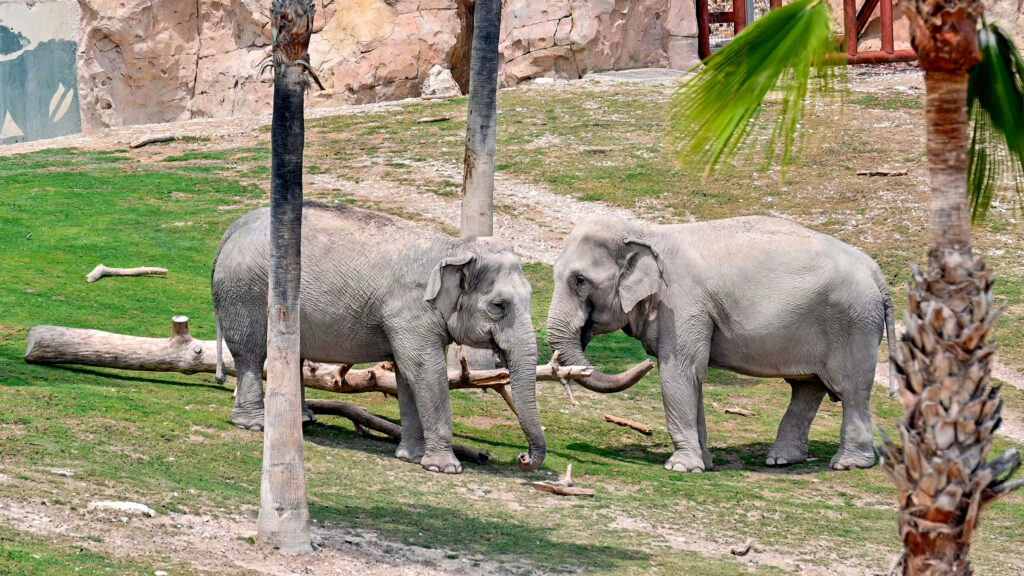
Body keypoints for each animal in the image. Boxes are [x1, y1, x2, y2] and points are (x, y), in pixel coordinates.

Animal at [207, 203, 544, 473]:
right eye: (498, 306)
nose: (523, 458)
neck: (454, 247)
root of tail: (232, 229)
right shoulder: (410, 311)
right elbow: (426, 371)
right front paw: (444, 469)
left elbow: (407, 375)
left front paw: (411, 457)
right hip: (245, 291)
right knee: (250, 353)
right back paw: (255, 424)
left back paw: (302, 421)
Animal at [544, 214, 897, 471]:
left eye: (580, 281)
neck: (645, 231)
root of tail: (875, 270)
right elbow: (693, 378)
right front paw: (705, 463)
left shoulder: (684, 305)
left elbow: (679, 373)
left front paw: (680, 468)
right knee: (807, 388)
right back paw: (781, 460)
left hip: (854, 324)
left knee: (851, 390)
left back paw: (848, 464)